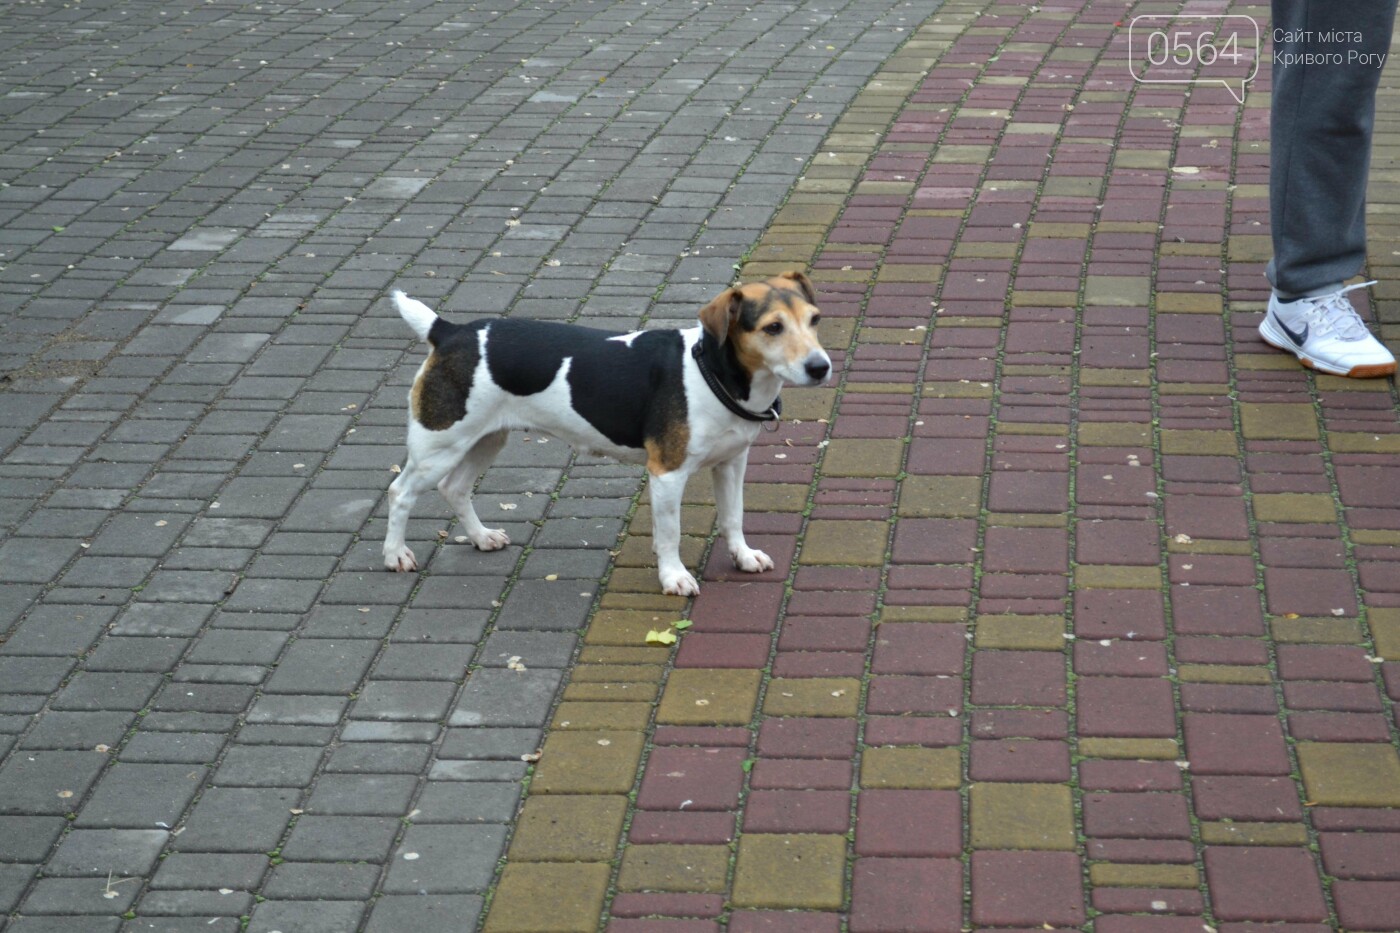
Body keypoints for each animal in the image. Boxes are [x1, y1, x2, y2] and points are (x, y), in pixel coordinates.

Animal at [380, 268, 828, 591]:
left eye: (815, 320)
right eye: (773, 327)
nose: (821, 367)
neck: (711, 371)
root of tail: (450, 331)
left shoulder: (732, 464)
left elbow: (733, 517)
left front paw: (743, 556)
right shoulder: (667, 474)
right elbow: (670, 533)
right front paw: (673, 577)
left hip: (486, 440)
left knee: (454, 488)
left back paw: (481, 537)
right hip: (439, 448)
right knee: (401, 493)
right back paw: (395, 555)